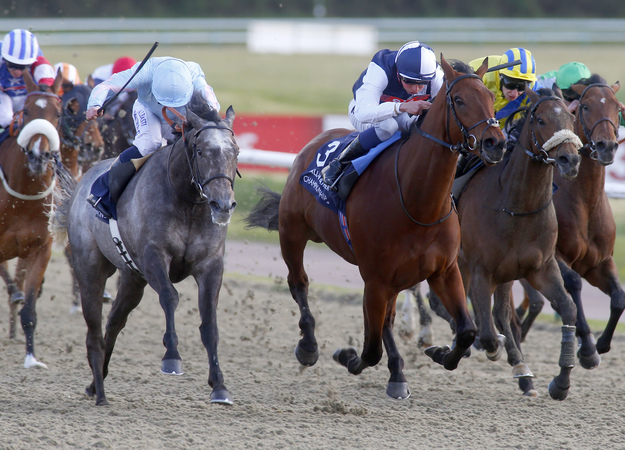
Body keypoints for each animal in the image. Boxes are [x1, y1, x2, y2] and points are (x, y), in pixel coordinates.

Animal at [56, 93, 238, 406]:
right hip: (90, 269)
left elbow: (210, 323)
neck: (187, 201)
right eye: (202, 151)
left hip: (132, 279)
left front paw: (219, 386)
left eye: (235, 152)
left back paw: (96, 382)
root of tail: (80, 186)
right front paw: (172, 357)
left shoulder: (210, 265)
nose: (223, 205)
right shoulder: (154, 256)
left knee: (114, 321)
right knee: (94, 329)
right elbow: (170, 297)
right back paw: (100, 392)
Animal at [244, 55, 508, 398]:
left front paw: (439, 353)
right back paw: (308, 347)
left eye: (490, 97)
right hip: (293, 232)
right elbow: (370, 350)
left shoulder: (443, 271)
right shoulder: (375, 278)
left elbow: (465, 330)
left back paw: (397, 371)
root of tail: (314, 143)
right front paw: (347, 356)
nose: (496, 143)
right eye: (460, 100)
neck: (417, 203)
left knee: (387, 320)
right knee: (299, 283)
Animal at [426, 89, 584, 400]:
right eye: (541, 119)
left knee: (499, 312)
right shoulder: (481, 270)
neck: (517, 206)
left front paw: (561, 382)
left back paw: (520, 367)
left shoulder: (540, 268)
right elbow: (487, 333)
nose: (569, 160)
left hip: (502, 272)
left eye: (572, 118)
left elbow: (567, 308)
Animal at [516, 74, 620, 370]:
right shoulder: (555, 255)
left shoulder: (600, 261)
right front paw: (587, 349)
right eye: (584, 107)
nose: (607, 146)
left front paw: (603, 343)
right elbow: (573, 284)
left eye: (618, 107)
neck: (585, 200)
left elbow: (619, 299)